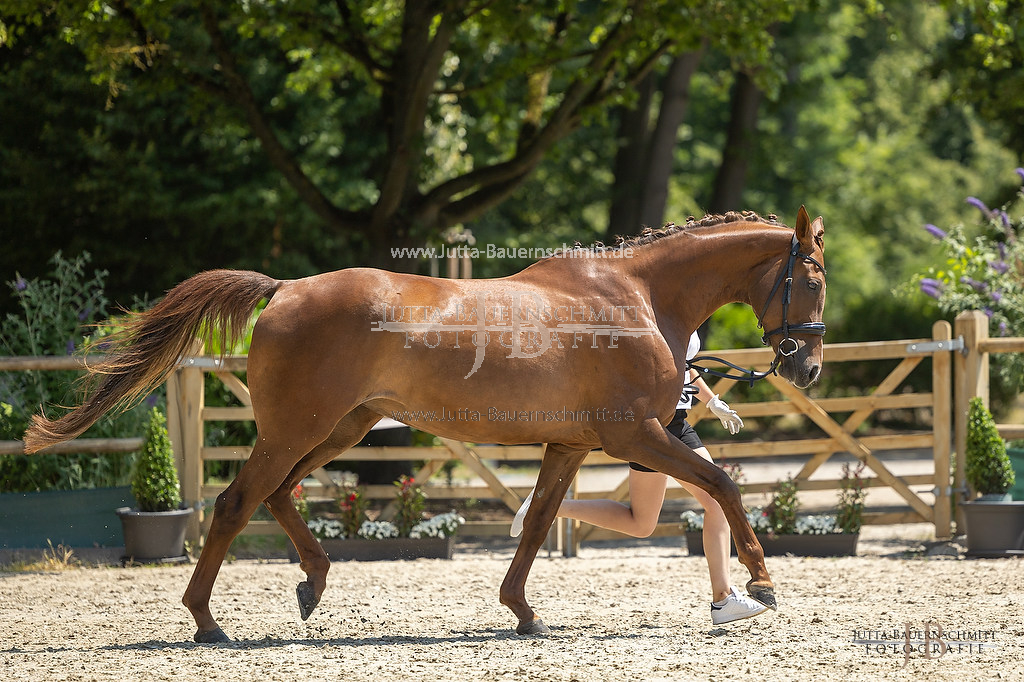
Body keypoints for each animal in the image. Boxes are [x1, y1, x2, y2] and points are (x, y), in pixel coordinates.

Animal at [24, 205, 823, 638]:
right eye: (812, 279)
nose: (808, 367)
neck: (636, 296)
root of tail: (285, 289)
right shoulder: (638, 437)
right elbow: (724, 485)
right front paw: (760, 583)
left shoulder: (570, 444)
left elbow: (538, 522)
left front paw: (521, 610)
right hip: (296, 430)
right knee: (235, 502)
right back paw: (207, 621)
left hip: (340, 429)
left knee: (277, 496)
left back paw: (312, 584)